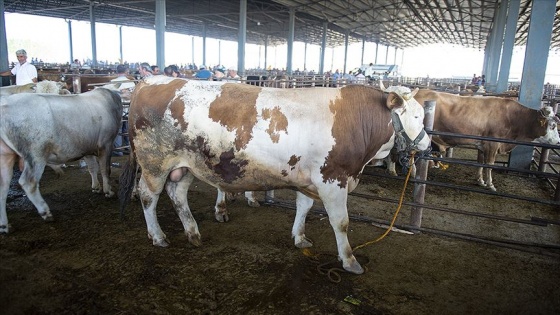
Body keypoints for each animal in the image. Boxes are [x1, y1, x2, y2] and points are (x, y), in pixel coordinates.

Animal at [0, 87, 122, 233]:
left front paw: (96, 187)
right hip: (36, 154)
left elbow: (92, 167)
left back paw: (4, 226)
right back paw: (46, 212)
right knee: (28, 182)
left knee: (3, 188)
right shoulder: (106, 144)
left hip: (5, 156)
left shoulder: (87, 146)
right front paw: (108, 191)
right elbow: (105, 169)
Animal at [120, 76, 430, 274]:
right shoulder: (333, 179)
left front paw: (300, 237)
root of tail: (149, 81)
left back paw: (193, 232)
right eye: (417, 117)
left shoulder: (308, 180)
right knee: (148, 197)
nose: (427, 144)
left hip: (185, 166)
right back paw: (158, 235)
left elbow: (304, 208)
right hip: (155, 163)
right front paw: (349, 260)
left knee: (178, 195)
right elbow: (341, 222)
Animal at [380, 84, 560, 191]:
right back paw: (405, 171)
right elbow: (489, 165)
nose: (557, 141)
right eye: (552, 125)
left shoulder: (483, 144)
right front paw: (490, 184)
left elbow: (481, 163)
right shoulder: (493, 145)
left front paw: (480, 180)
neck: (511, 116)